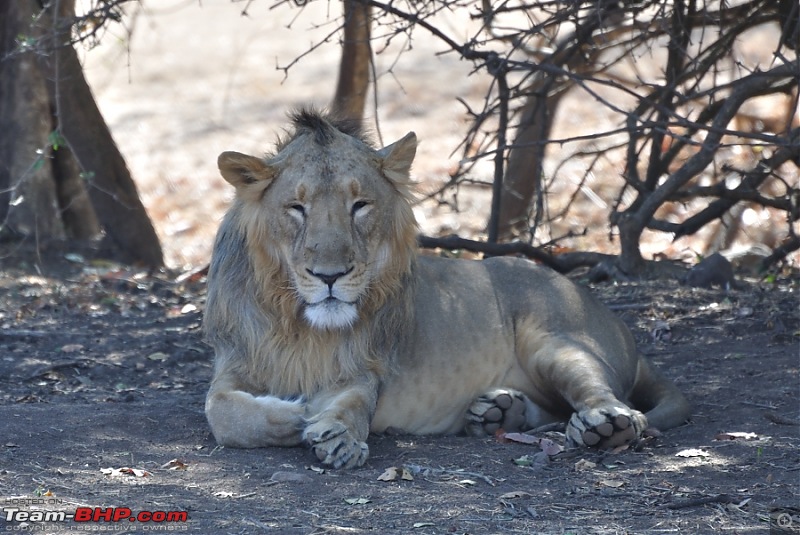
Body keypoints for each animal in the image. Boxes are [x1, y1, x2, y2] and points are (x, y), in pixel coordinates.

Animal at [203, 109, 692, 468]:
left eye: (360, 205)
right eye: (296, 208)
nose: (330, 276)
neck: (299, 324)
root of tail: (618, 325)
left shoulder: (363, 371)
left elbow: (350, 406)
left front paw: (332, 429)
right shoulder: (233, 363)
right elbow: (226, 415)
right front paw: (299, 412)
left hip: (558, 343)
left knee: (612, 402)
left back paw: (604, 425)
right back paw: (498, 410)